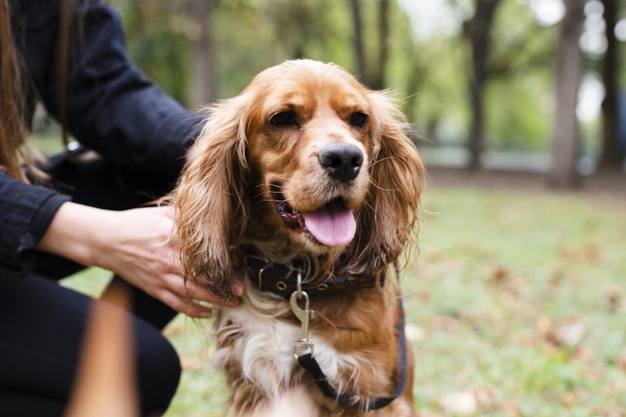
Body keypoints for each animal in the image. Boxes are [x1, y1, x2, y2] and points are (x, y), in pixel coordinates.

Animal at [171, 59, 424, 416]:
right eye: (282, 118)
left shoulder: (367, 389)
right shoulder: (254, 384)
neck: (298, 277)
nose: (345, 159)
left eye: (358, 118)